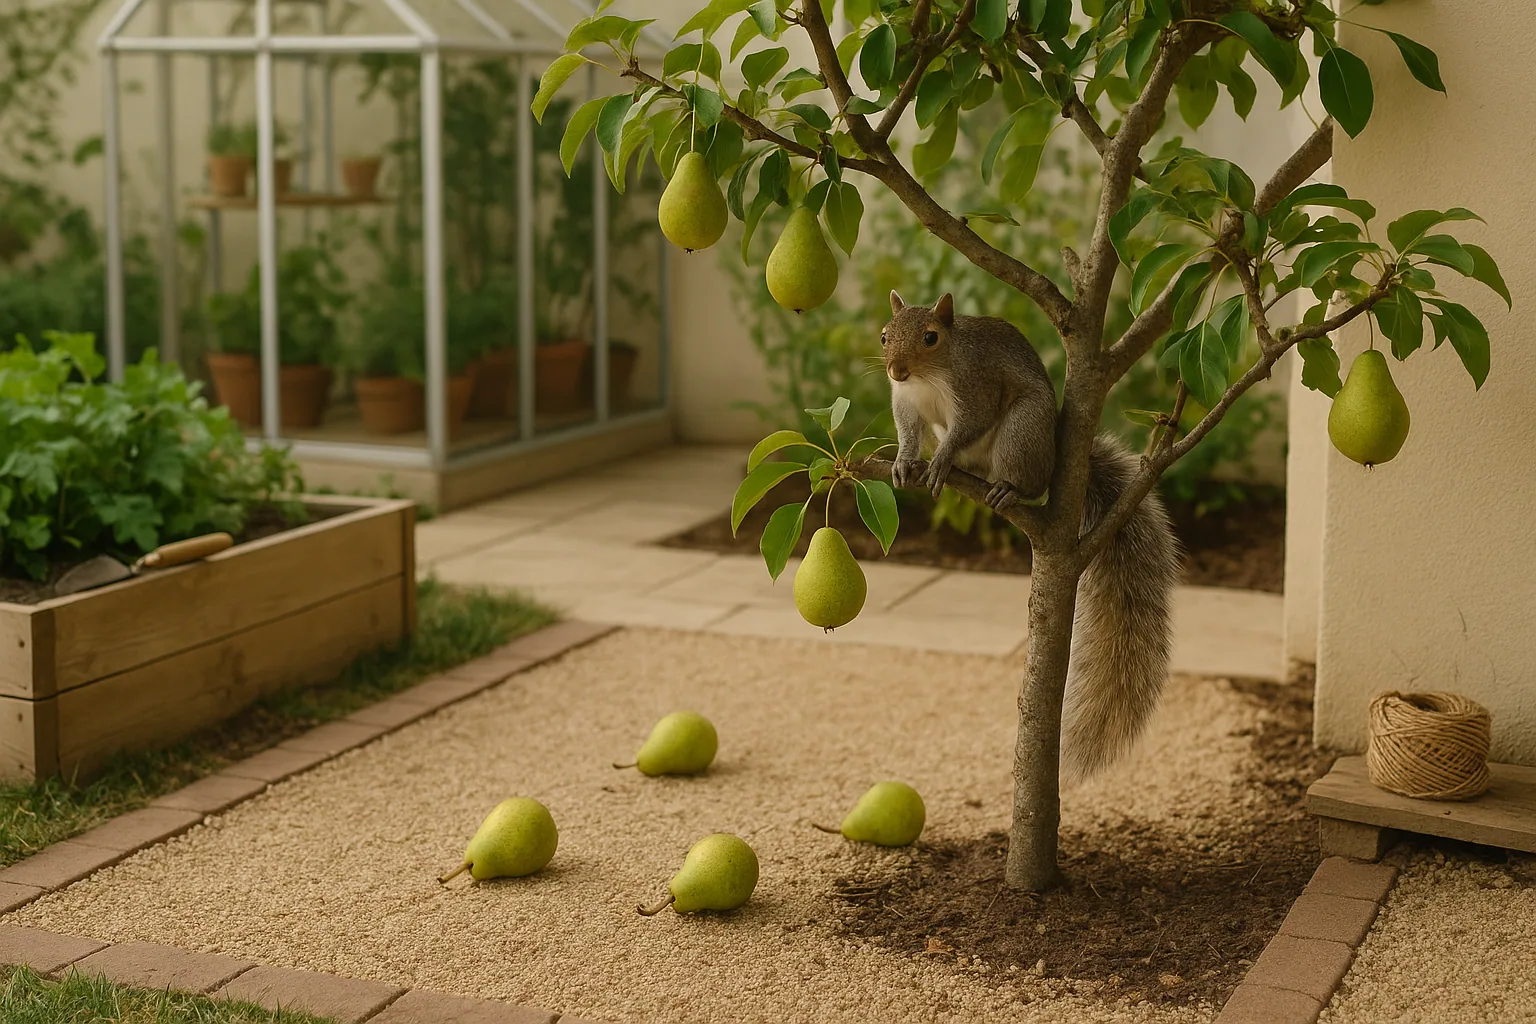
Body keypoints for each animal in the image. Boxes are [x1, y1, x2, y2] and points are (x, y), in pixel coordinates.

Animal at [882, 291, 1181, 782]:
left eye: (931, 337)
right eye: (885, 335)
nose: (895, 370)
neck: (929, 376)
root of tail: (1053, 459)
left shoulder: (977, 389)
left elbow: (971, 422)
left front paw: (941, 457)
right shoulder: (906, 403)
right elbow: (908, 430)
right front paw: (906, 460)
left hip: (1020, 434)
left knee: (1023, 475)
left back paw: (1005, 487)